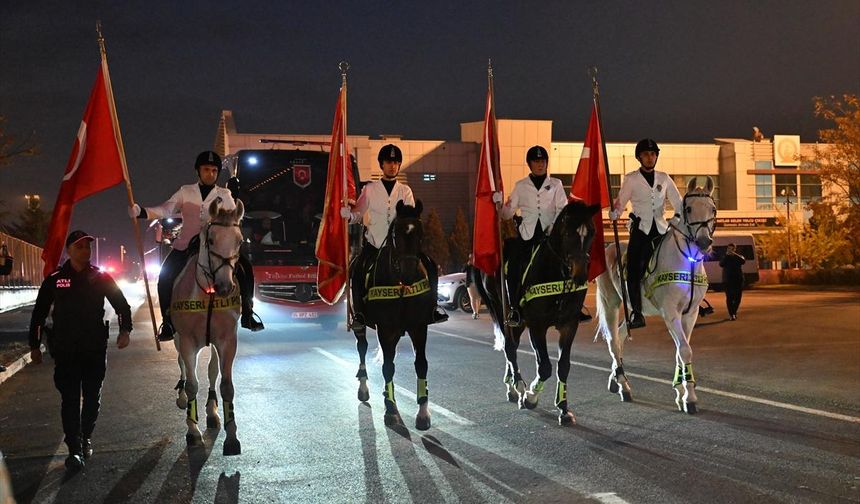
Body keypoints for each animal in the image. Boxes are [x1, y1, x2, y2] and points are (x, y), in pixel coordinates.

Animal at [171, 199, 244, 454]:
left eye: (240, 241)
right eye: (210, 240)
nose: (225, 287)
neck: (208, 294)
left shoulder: (227, 340)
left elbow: (226, 385)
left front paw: (231, 437)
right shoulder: (186, 341)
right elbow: (193, 384)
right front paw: (192, 433)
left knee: (212, 370)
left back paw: (212, 413)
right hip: (177, 339)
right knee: (182, 366)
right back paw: (182, 396)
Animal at [362, 201, 436, 430]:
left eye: (421, 233)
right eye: (395, 234)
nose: (409, 272)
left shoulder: (419, 327)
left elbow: (421, 365)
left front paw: (423, 412)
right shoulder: (386, 330)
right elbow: (387, 367)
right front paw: (391, 409)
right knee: (362, 348)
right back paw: (364, 388)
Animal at [478, 201, 596, 426]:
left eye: (592, 233)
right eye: (567, 234)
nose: (580, 275)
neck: (557, 272)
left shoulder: (569, 325)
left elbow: (563, 366)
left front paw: (563, 409)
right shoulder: (537, 326)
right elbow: (545, 367)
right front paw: (530, 396)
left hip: (518, 323)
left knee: (512, 346)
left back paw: (511, 385)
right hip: (501, 311)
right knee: (509, 347)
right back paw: (518, 386)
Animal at [596, 177, 716, 414]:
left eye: (713, 209)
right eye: (688, 208)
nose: (704, 242)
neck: (687, 261)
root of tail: (610, 246)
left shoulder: (690, 314)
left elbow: (680, 351)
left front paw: (680, 391)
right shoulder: (670, 313)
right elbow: (684, 351)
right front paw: (689, 398)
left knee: (621, 336)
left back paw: (615, 379)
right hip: (610, 303)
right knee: (613, 341)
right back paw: (623, 385)